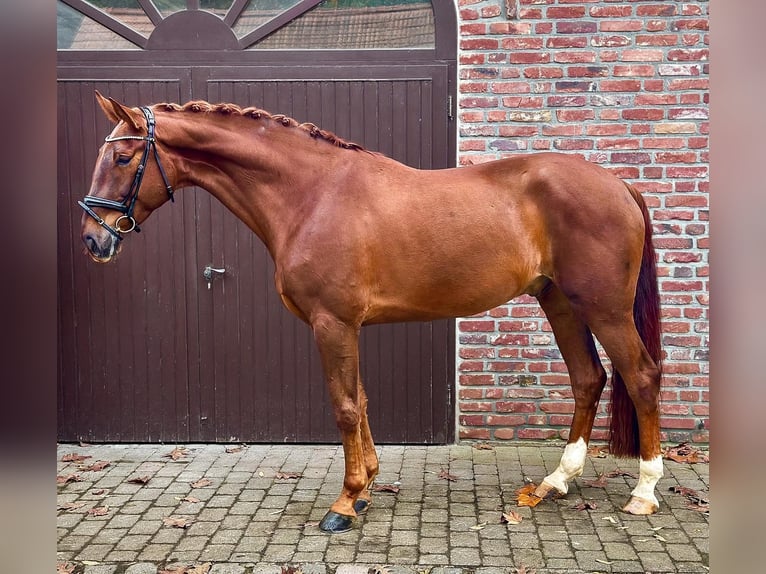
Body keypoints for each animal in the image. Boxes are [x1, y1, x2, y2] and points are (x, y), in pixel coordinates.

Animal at [79, 92, 664, 536]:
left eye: (124, 159)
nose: (92, 240)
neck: (312, 195)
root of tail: (618, 184)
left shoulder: (332, 323)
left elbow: (343, 407)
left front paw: (345, 502)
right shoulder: (346, 326)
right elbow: (359, 400)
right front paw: (367, 488)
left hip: (604, 308)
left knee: (640, 376)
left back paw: (644, 491)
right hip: (559, 301)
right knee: (588, 378)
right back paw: (556, 481)